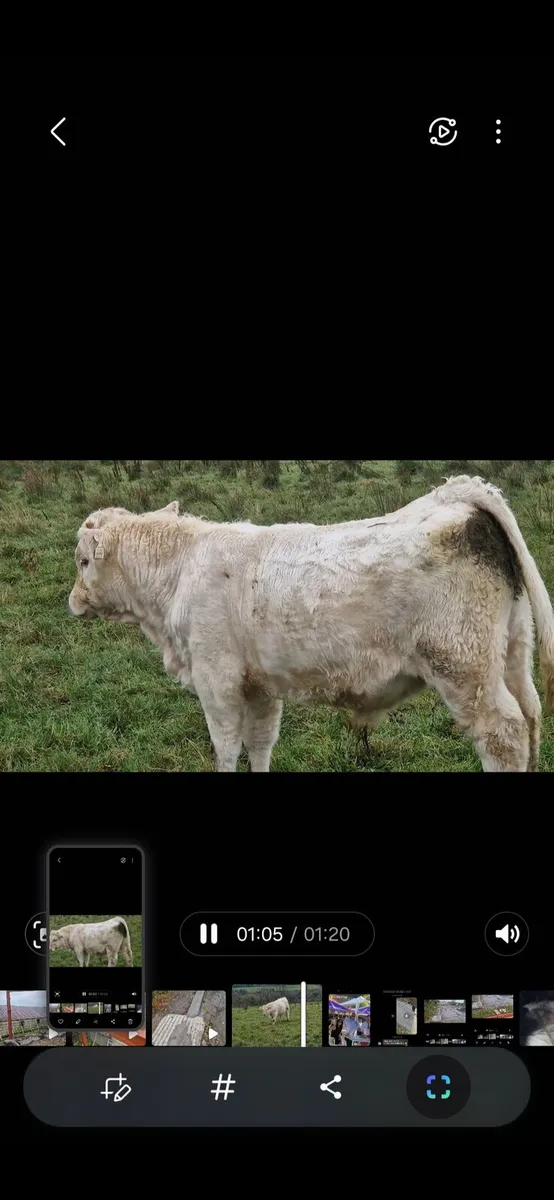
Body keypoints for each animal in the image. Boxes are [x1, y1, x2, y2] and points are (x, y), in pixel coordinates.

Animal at [68, 475, 554, 773]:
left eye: (83, 561)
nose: (72, 601)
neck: (183, 568)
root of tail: (457, 496)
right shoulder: (260, 686)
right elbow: (260, 743)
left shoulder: (216, 679)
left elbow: (225, 747)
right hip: (512, 650)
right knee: (531, 716)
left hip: (463, 667)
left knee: (504, 734)